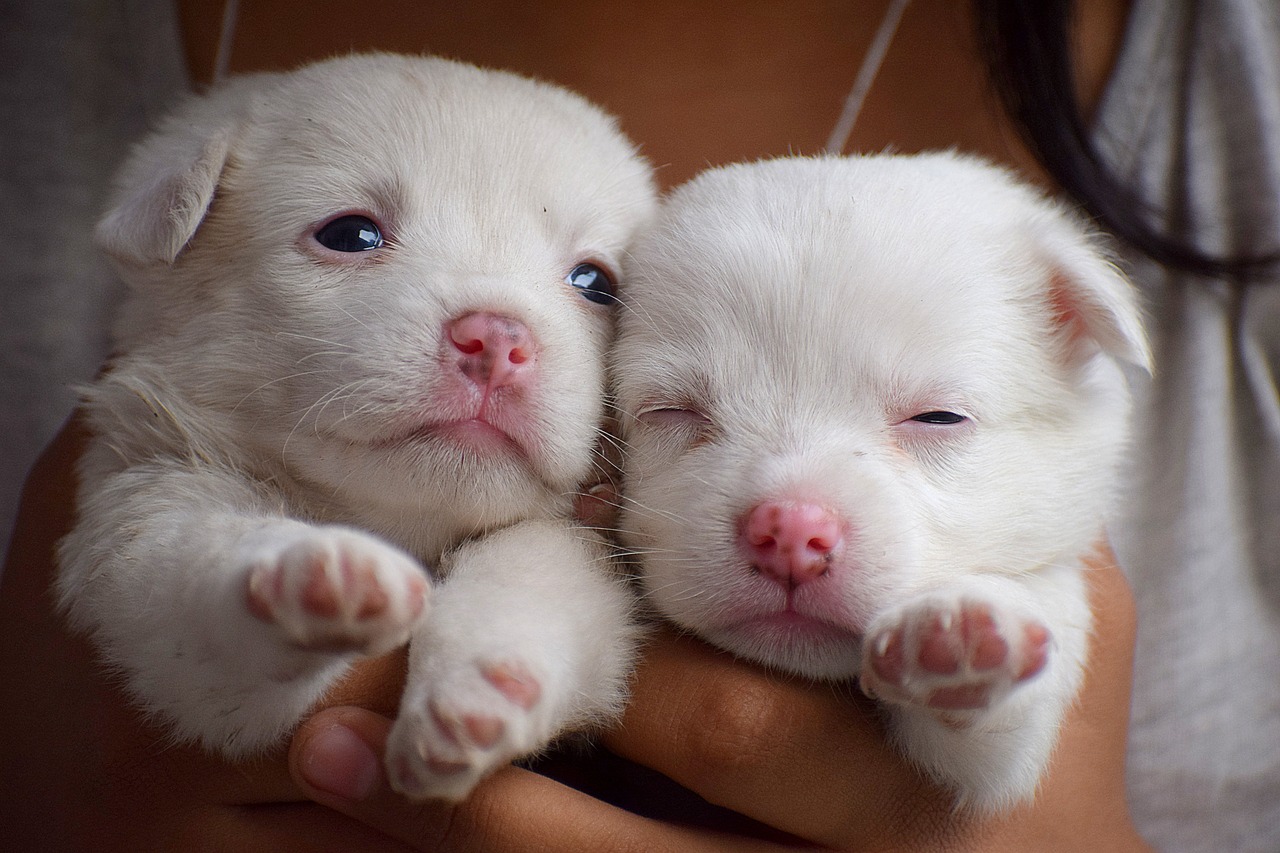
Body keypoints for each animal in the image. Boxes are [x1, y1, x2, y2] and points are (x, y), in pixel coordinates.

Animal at [53, 51, 655, 799]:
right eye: (350, 234)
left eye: (596, 282)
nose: (497, 338)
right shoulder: (145, 515)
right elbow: (190, 573)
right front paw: (304, 572)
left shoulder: (585, 553)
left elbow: (533, 564)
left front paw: (483, 682)